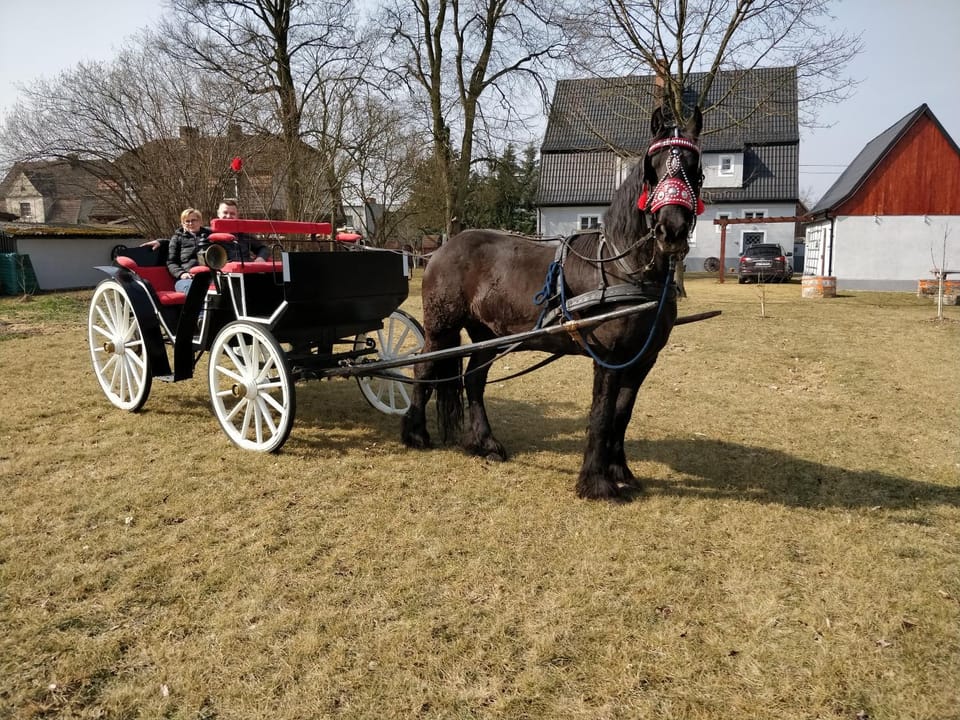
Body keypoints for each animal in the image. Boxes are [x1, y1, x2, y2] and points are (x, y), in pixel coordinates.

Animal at [401, 106, 704, 500]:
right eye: (653, 166)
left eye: (696, 165)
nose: (672, 230)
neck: (625, 268)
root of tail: (441, 249)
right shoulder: (609, 359)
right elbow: (602, 415)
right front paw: (597, 482)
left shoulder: (642, 360)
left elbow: (622, 415)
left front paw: (621, 471)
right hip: (441, 328)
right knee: (425, 369)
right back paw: (415, 433)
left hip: (487, 335)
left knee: (474, 380)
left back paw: (483, 443)